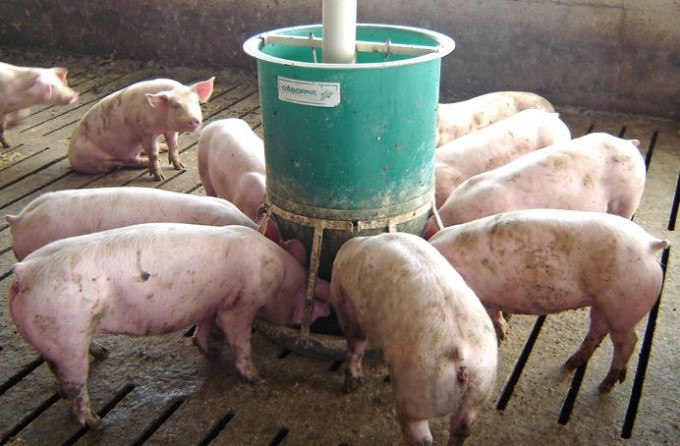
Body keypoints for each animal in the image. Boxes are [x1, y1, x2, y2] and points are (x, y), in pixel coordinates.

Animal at [8, 223, 332, 429]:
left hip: (57, 339)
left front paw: (210, 351)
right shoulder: (241, 304)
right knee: (76, 386)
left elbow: (205, 325)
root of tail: (23, 273)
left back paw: (98, 357)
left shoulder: (210, 302)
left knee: (55, 369)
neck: (280, 279)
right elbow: (239, 339)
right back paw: (97, 424)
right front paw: (257, 378)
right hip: (68, 336)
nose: (324, 315)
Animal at [67, 77, 214, 180]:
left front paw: (181, 167)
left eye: (195, 102)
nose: (194, 119)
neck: (161, 122)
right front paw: (160, 178)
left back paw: (161, 149)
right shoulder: (145, 132)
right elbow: (153, 153)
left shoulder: (170, 130)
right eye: (176, 106)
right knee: (122, 162)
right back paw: (145, 162)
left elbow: (174, 145)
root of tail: (71, 159)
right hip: (99, 162)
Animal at [331, 232, 497, 446]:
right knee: (462, 427)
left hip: (415, 389)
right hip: (480, 389)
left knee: (421, 436)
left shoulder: (346, 304)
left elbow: (355, 346)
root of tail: (462, 358)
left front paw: (348, 388)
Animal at [429, 209, 667, 393]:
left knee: (628, 342)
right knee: (598, 330)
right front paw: (503, 332)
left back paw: (605, 385)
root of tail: (650, 245)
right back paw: (570, 364)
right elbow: (495, 315)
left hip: (623, 306)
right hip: (603, 303)